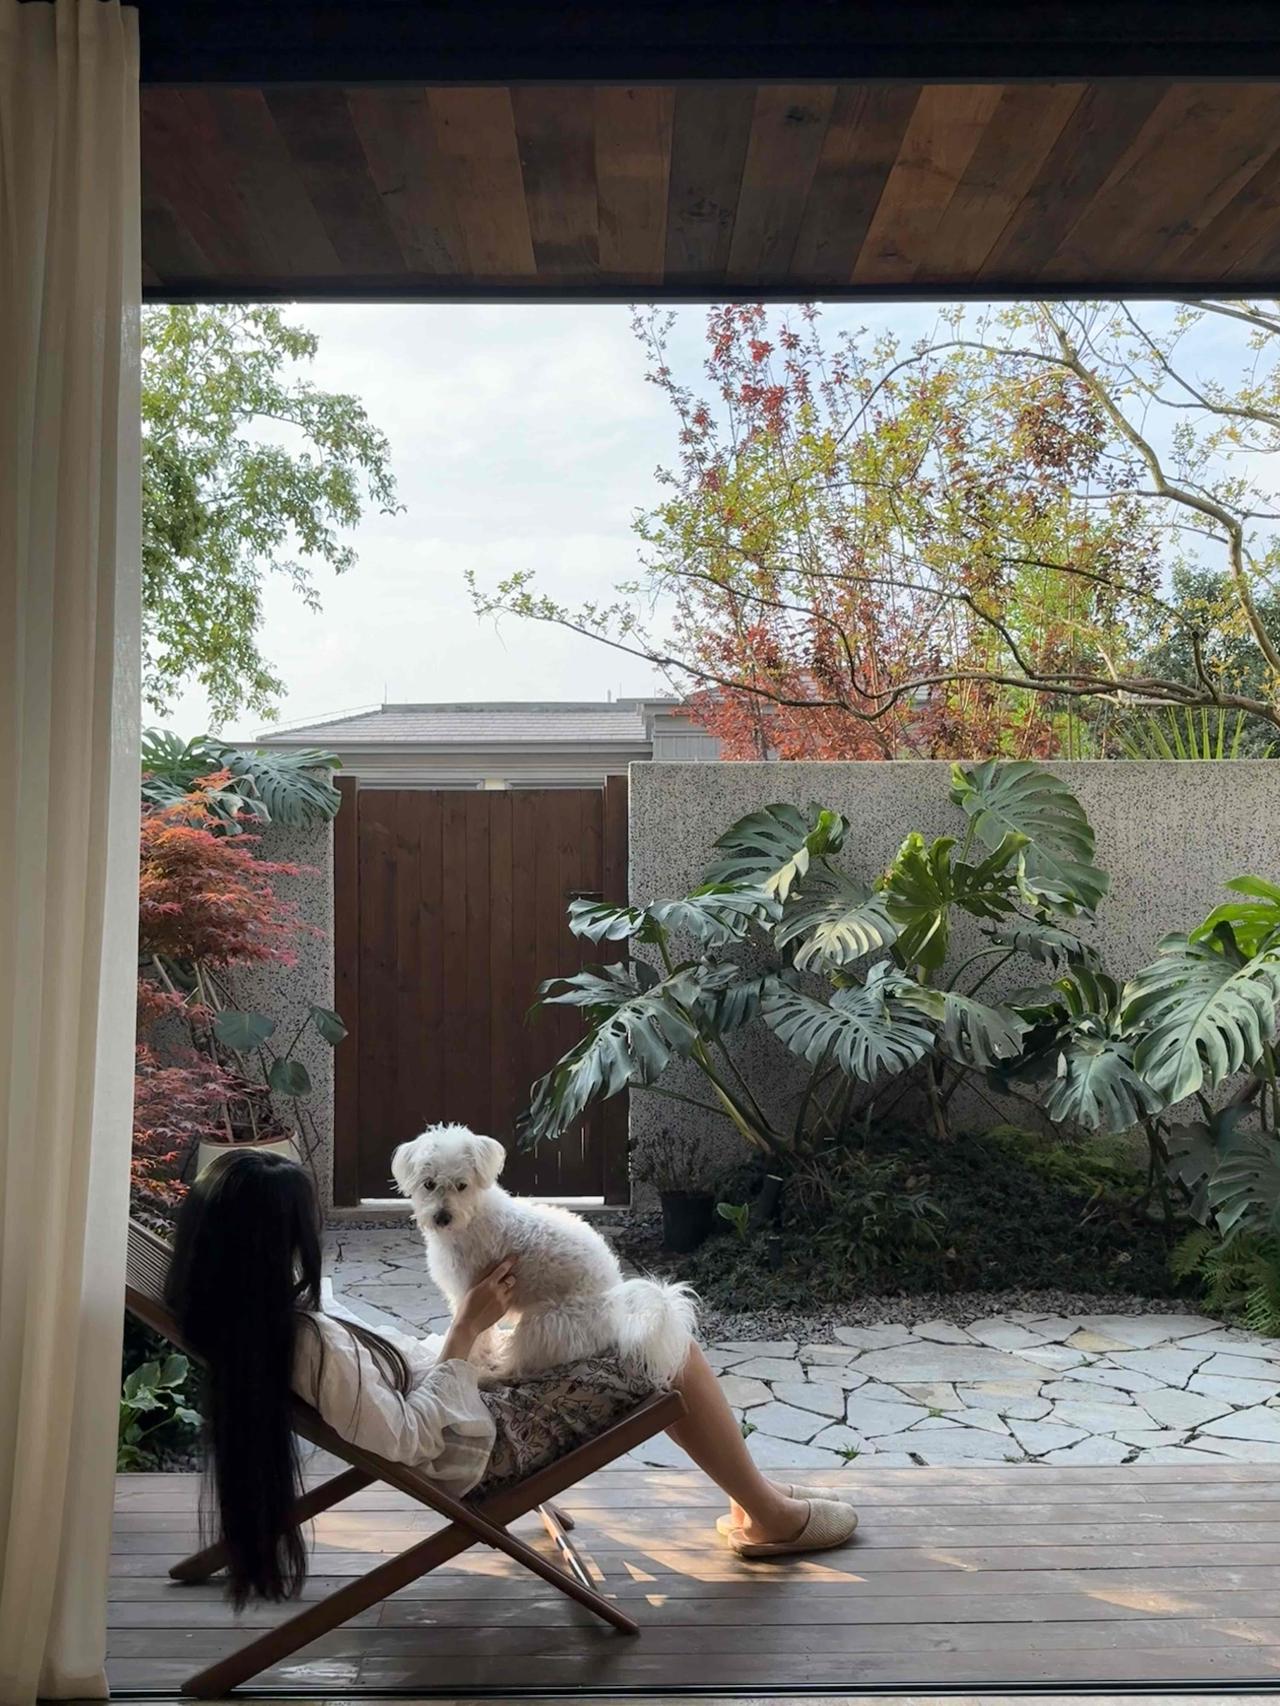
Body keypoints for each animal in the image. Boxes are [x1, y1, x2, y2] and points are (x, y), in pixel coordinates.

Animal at [391, 1123, 696, 1385]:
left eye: (462, 1185)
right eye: (429, 1184)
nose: (442, 1217)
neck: (472, 1216)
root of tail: (616, 1318)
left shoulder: (469, 1293)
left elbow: (476, 1337)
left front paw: (471, 1362)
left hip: (545, 1322)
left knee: (518, 1367)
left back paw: (490, 1373)